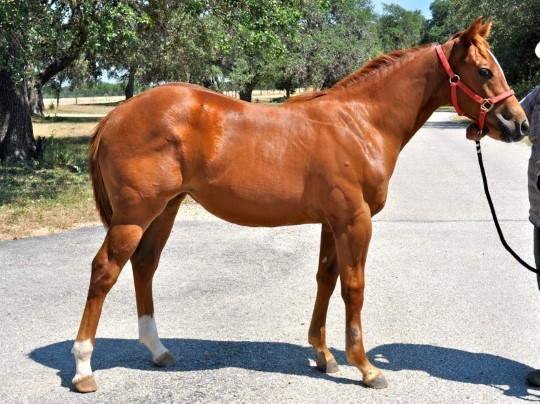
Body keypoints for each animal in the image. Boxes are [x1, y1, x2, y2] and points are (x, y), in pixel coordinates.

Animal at [71, 17, 528, 392]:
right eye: (484, 71)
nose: (519, 124)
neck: (361, 123)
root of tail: (115, 116)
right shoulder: (355, 221)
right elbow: (354, 288)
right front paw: (366, 367)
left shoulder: (332, 221)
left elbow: (325, 280)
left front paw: (324, 357)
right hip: (135, 215)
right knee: (104, 270)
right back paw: (83, 368)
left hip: (165, 209)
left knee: (144, 265)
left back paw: (157, 349)